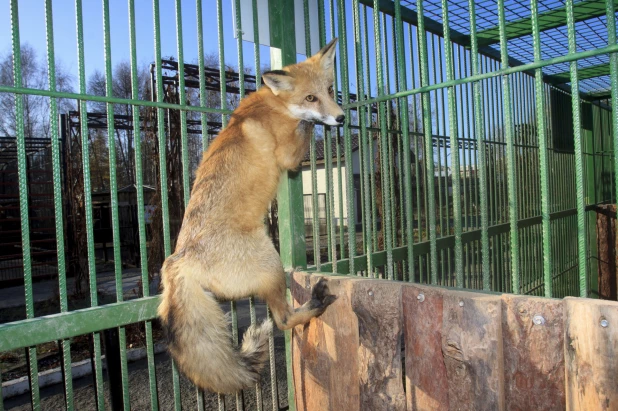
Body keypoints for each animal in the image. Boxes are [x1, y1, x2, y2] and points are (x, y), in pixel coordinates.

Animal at [156, 39, 342, 396]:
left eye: (329, 89)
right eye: (310, 98)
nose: (340, 118)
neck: (272, 105)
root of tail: (177, 262)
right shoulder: (289, 157)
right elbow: (305, 126)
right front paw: (314, 123)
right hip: (271, 264)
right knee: (284, 319)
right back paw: (315, 305)